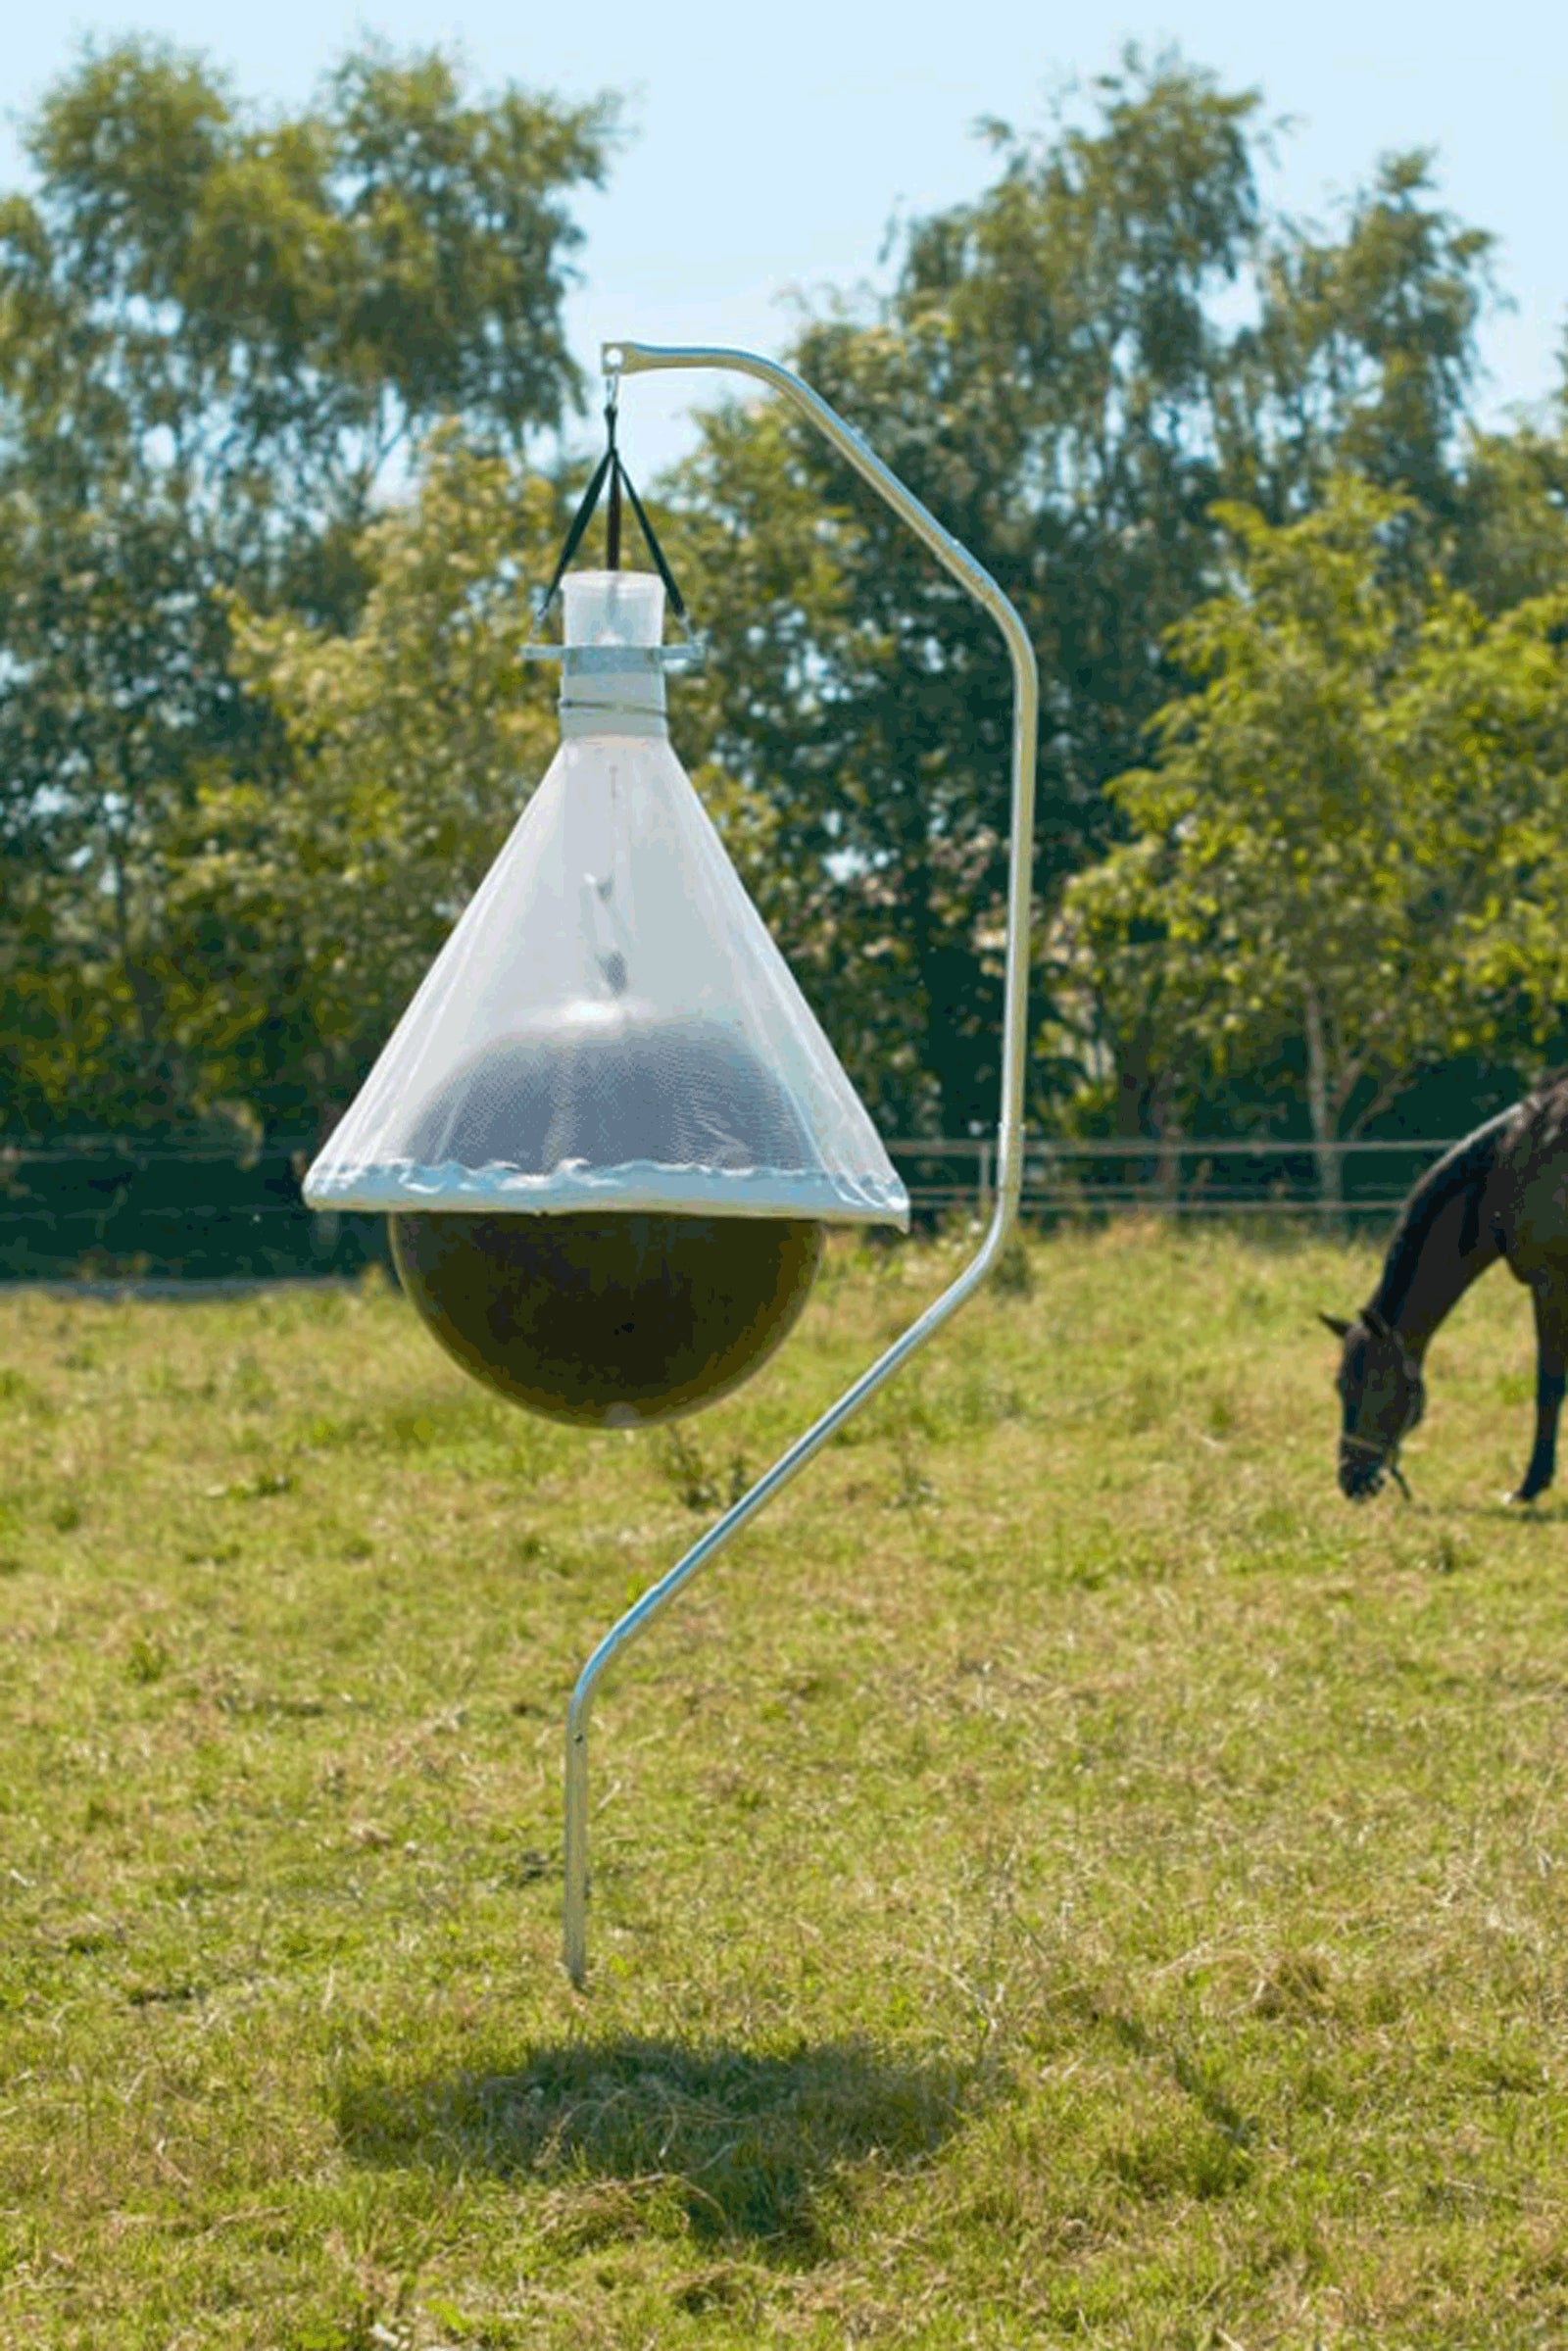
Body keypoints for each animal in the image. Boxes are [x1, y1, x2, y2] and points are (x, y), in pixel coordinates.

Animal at [1321, 1076, 1568, 1503]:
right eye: (1339, 1384)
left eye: (1376, 1382)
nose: (1352, 1480)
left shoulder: (1549, 1284)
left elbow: (1549, 1384)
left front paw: (1530, 1485)